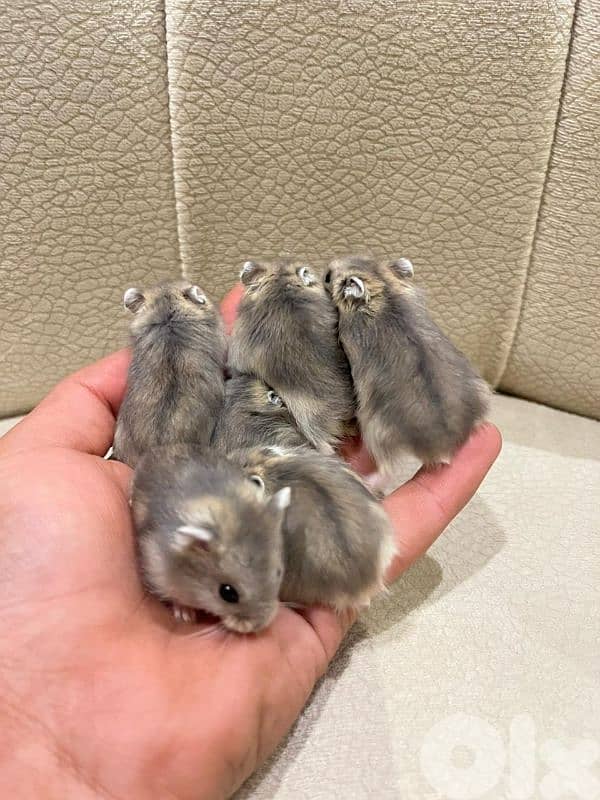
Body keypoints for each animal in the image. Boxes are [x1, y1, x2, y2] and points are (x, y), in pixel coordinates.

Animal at [326, 255, 490, 492]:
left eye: (328, 276)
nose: (330, 263)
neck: (383, 288)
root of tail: (445, 449)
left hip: (375, 430)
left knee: (386, 470)